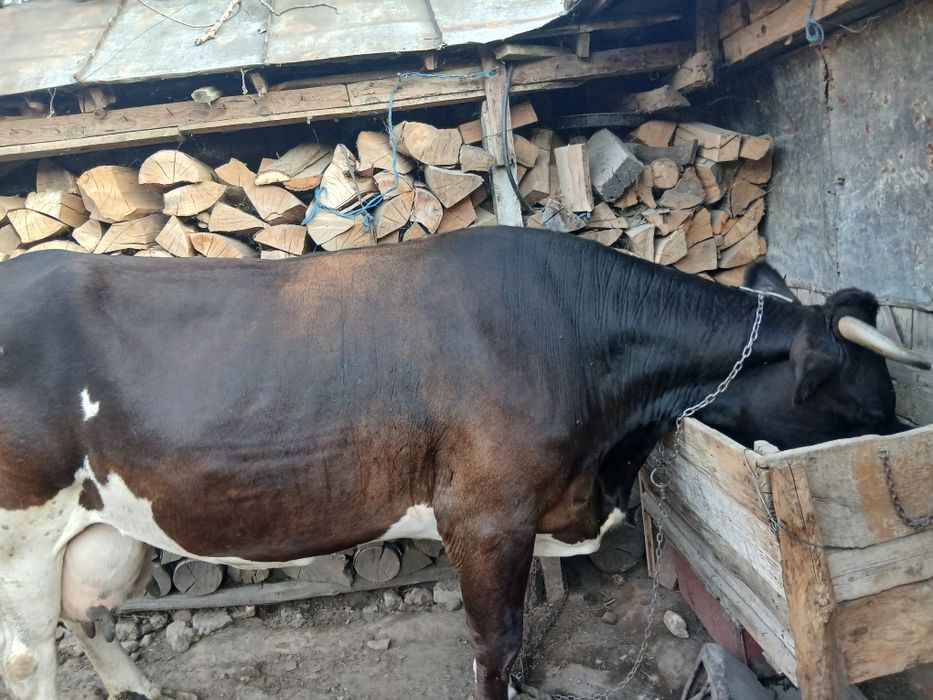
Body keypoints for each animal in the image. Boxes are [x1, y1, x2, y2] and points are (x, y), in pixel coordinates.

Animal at [0, 226, 928, 700]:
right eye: (864, 408)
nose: (895, 432)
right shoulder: (485, 515)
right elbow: (495, 643)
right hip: (20, 537)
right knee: (30, 657)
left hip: (108, 528)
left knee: (88, 615)